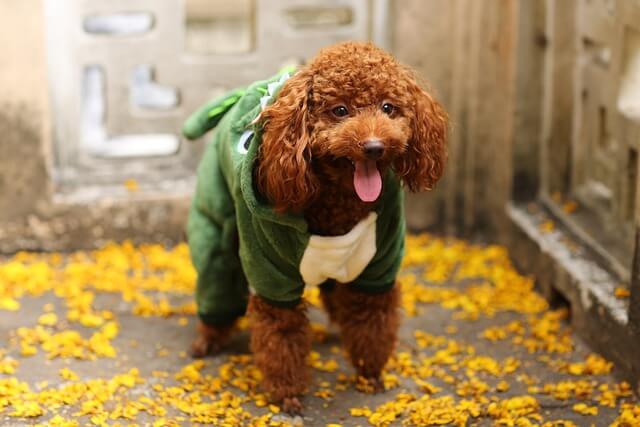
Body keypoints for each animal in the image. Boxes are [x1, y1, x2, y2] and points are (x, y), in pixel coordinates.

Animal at [192, 42, 448, 414]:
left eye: (388, 107)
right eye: (339, 110)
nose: (374, 147)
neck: (337, 203)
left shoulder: (378, 264)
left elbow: (372, 320)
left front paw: (369, 374)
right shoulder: (272, 278)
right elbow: (281, 337)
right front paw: (287, 393)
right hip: (216, 232)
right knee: (217, 276)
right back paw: (208, 339)